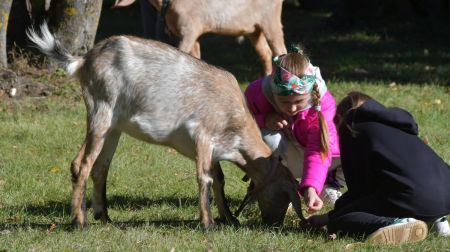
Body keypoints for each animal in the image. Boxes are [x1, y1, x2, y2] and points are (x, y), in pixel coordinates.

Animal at [114, 0, 286, 75]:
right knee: (266, 53)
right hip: (254, 29)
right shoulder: (192, 33)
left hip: (271, 20)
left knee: (280, 50)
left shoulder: (189, 29)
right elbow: (195, 56)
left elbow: (181, 52)